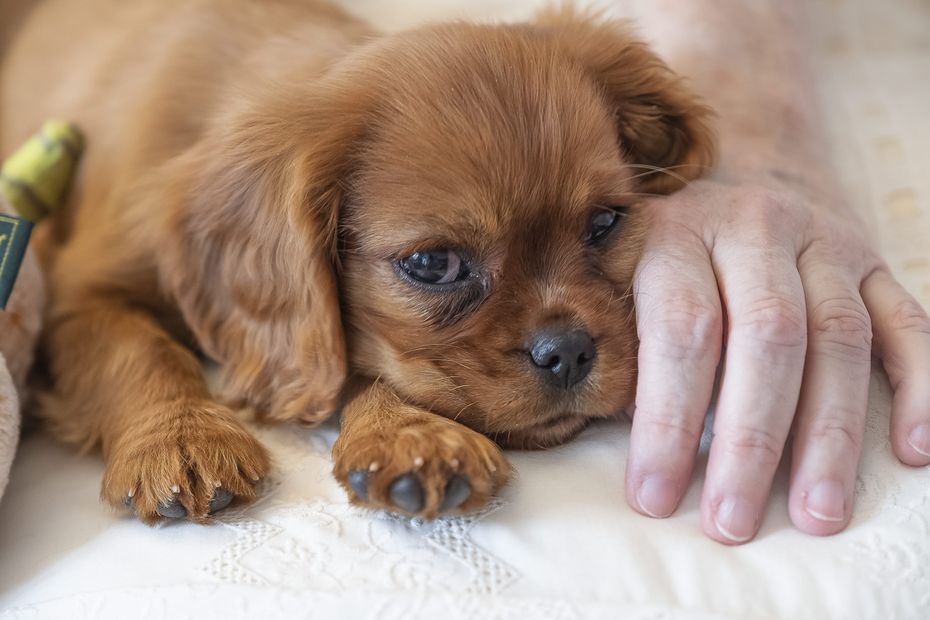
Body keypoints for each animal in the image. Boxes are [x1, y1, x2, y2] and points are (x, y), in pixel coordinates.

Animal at [0, 1, 716, 524]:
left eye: (604, 224)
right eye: (433, 263)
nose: (568, 351)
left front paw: (412, 437)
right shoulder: (78, 292)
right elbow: (140, 350)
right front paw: (181, 440)